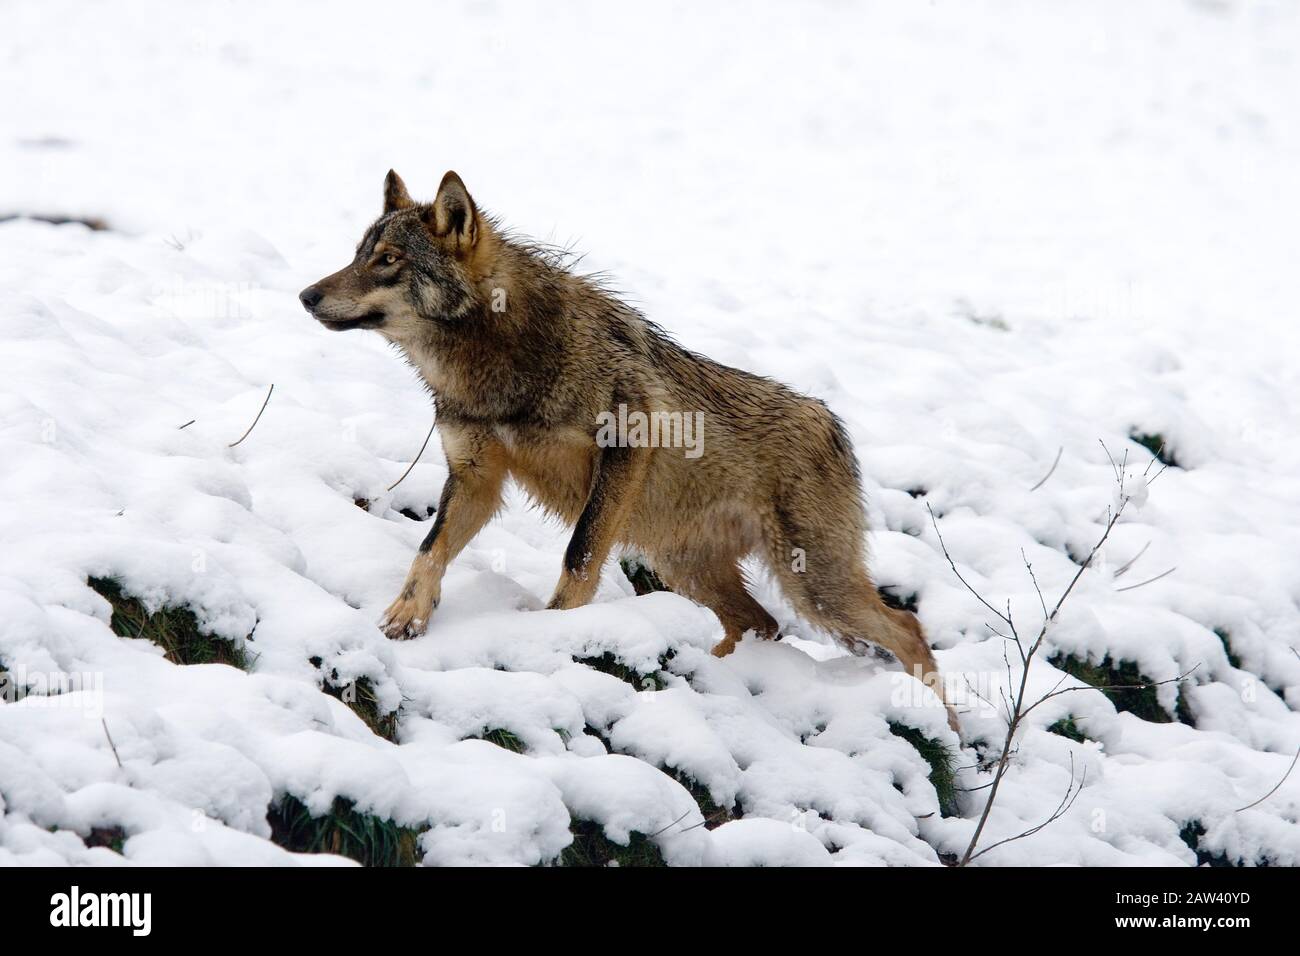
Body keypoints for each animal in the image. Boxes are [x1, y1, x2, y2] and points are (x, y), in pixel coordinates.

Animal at [299, 171, 961, 728]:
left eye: (388, 261)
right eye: (358, 254)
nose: (306, 295)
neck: (496, 365)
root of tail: (833, 423)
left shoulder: (624, 447)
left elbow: (578, 558)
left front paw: (557, 635)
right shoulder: (475, 478)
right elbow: (429, 550)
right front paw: (406, 617)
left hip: (815, 587)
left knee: (906, 627)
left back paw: (945, 727)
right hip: (685, 567)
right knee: (764, 625)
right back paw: (720, 676)